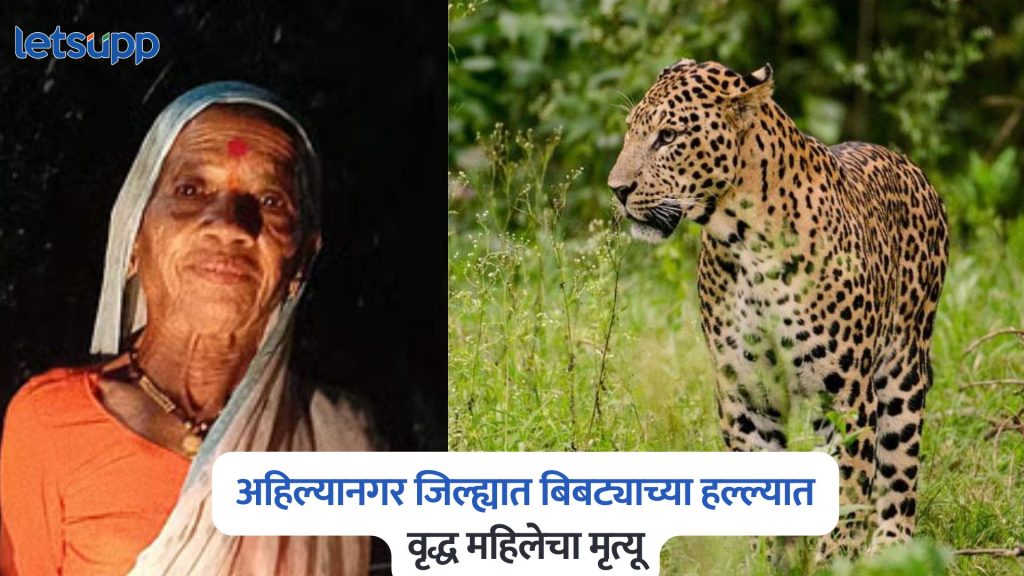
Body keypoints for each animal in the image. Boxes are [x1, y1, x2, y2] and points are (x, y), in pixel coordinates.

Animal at [607, 59, 948, 558]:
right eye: (630, 131)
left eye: (667, 137)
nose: (617, 189)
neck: (743, 242)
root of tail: (907, 164)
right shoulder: (747, 394)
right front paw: (762, 559)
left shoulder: (845, 397)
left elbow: (846, 494)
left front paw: (832, 562)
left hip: (902, 371)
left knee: (899, 478)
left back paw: (890, 554)